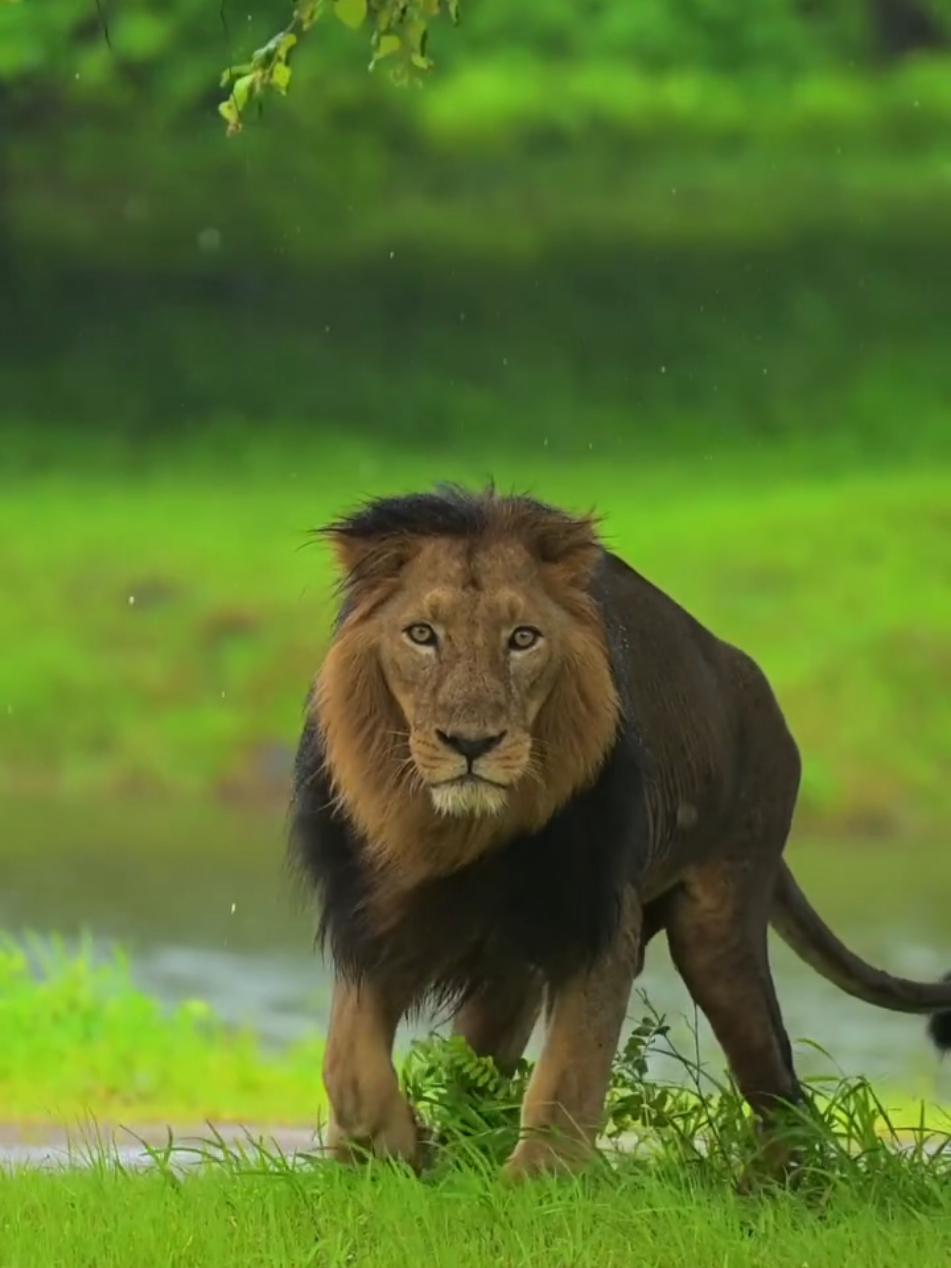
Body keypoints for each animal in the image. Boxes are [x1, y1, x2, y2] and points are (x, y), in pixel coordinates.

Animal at [288, 482, 951, 1182]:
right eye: (421, 634)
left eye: (522, 638)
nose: (472, 743)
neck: (453, 837)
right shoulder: (371, 916)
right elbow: (347, 1064)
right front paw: (393, 1150)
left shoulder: (596, 918)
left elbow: (568, 1071)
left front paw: (537, 1181)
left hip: (716, 931)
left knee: (780, 1083)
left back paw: (782, 1186)